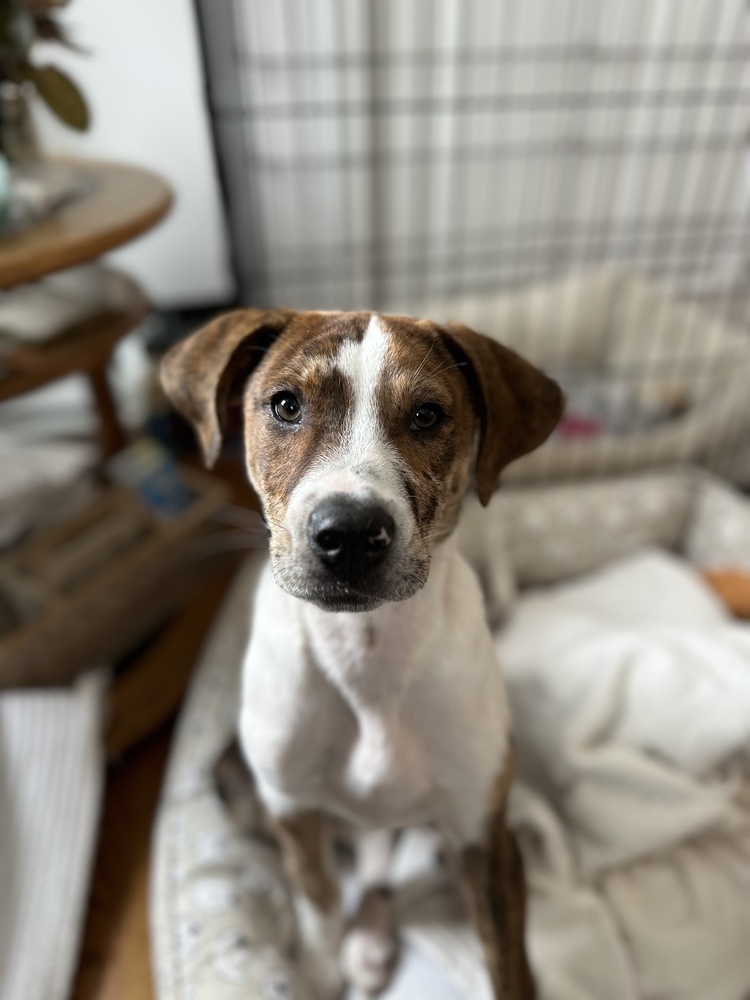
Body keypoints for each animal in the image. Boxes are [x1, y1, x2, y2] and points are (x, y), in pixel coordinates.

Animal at [164, 308, 564, 996]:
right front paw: (317, 970)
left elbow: (509, 966)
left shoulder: (483, 831)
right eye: (286, 405)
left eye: (428, 415)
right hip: (235, 782)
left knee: (385, 857)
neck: (367, 653)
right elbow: (319, 900)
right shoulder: (293, 810)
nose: (349, 535)